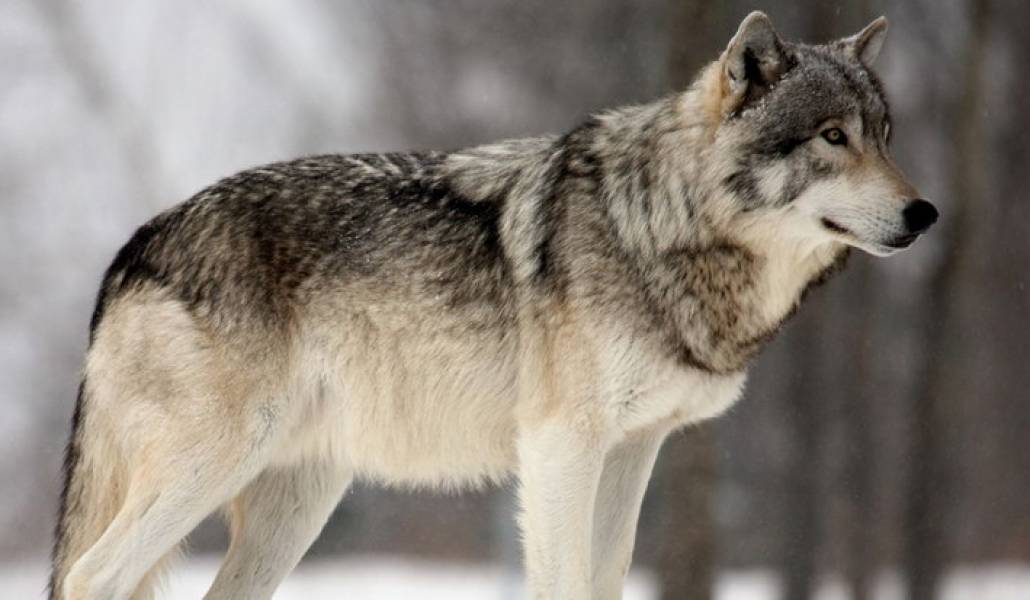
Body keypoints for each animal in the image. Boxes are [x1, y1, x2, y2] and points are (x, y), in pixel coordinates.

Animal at [51, 11, 936, 600]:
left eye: (886, 136)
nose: (925, 213)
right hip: (213, 468)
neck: (657, 227)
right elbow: (564, 584)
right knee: (92, 576)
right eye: (831, 137)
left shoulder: (634, 449)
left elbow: (607, 581)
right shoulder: (560, 446)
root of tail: (136, 245)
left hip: (295, 506)